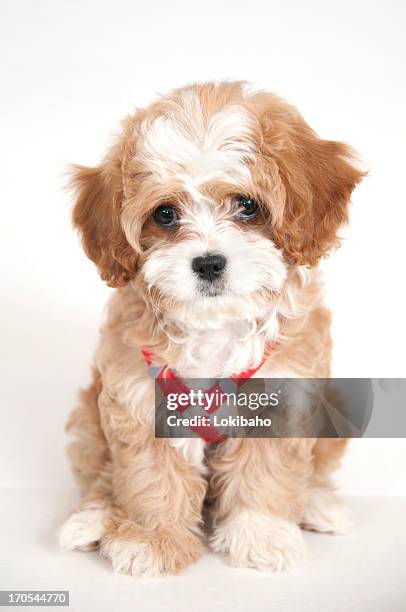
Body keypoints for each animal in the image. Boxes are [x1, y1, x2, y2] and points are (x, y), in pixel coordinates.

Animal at [57, 81, 364, 572]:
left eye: (248, 206)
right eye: (165, 214)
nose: (208, 263)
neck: (215, 326)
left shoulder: (283, 398)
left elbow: (265, 472)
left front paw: (261, 536)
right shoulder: (140, 398)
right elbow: (151, 477)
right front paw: (152, 540)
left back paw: (319, 505)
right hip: (90, 413)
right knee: (100, 473)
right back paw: (93, 518)